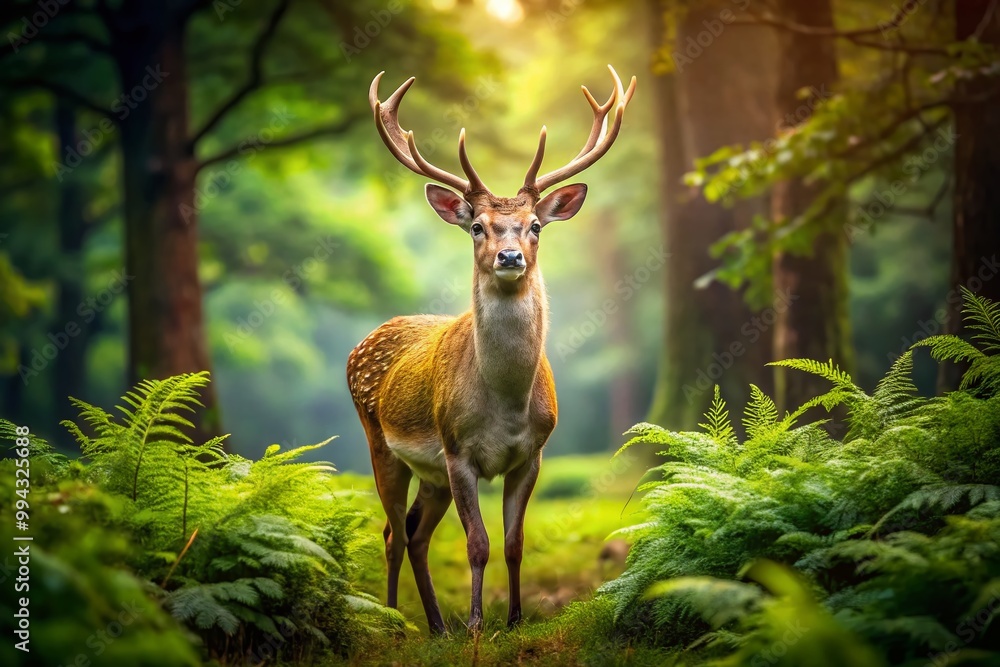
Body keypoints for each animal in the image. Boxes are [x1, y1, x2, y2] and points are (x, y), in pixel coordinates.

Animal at [347, 65, 635, 635]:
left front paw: (516, 618)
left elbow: (514, 542)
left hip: (431, 474)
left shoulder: (534, 453)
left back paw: (436, 626)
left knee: (414, 533)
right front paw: (478, 623)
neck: (506, 406)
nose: (509, 256)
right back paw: (395, 620)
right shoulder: (458, 451)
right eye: (477, 226)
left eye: (536, 225)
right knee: (391, 533)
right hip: (380, 442)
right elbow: (477, 544)